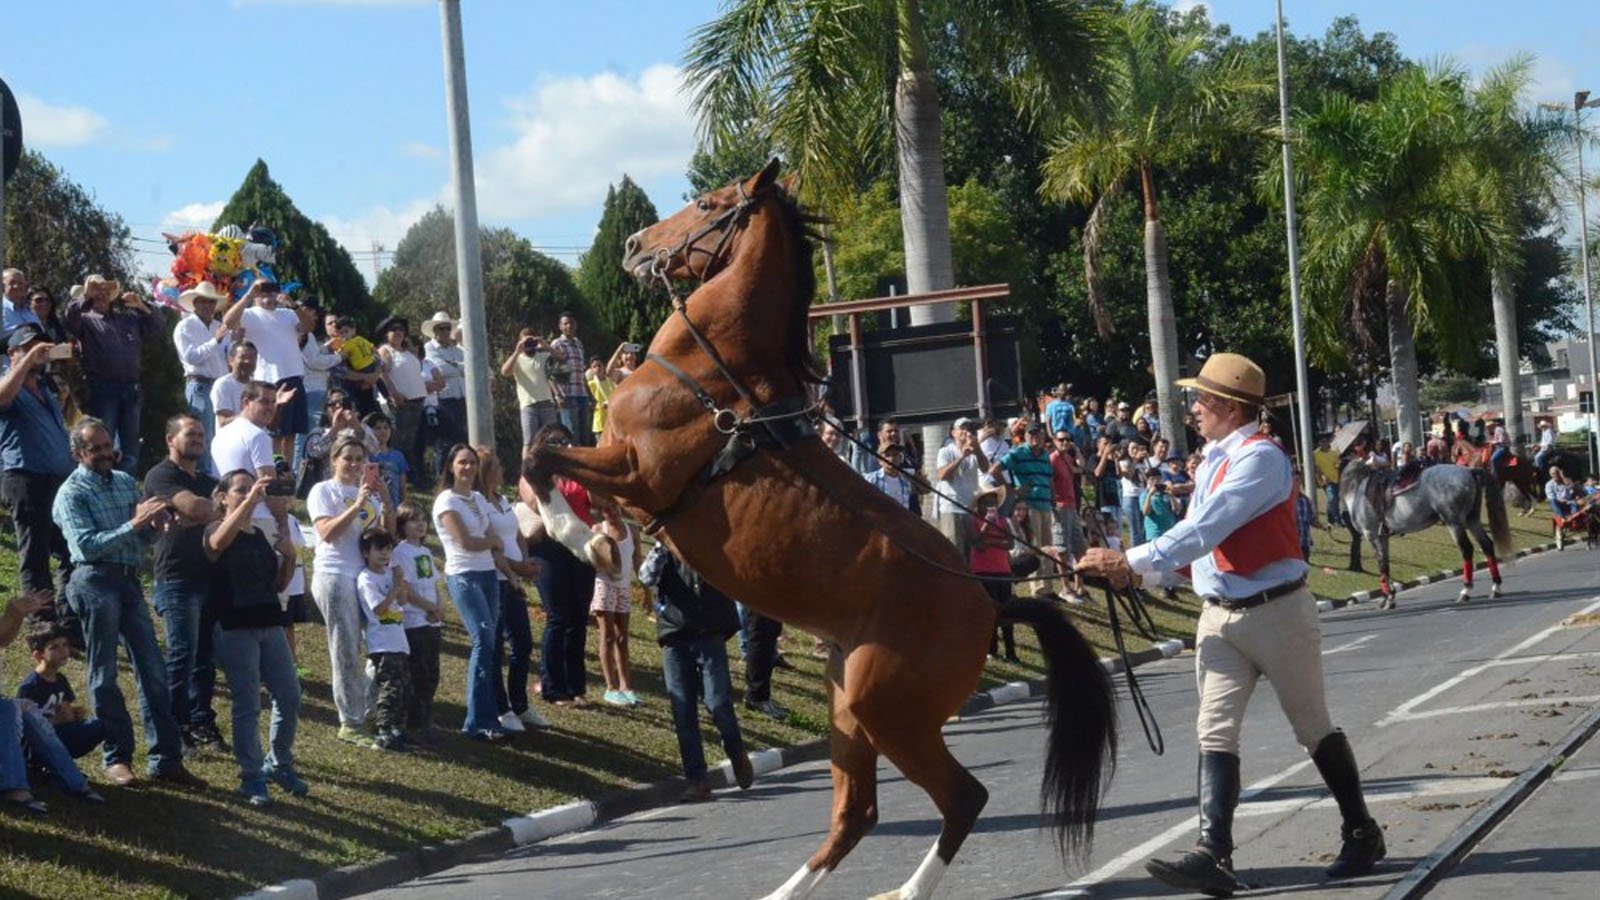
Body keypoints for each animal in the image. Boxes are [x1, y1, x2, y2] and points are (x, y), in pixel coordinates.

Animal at [521, 160, 1113, 896]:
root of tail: (989, 601)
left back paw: (907, 890)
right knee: (856, 814)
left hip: (884, 712)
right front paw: (592, 538)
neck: (713, 371)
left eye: (708, 204)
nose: (633, 245)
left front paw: (586, 539)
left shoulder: (638, 474)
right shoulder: (627, 476)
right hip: (847, 709)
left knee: (960, 797)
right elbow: (542, 449)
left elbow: (540, 455)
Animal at [1337, 458, 1510, 605]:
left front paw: (1388, 598)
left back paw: (1466, 590)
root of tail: (1469, 471)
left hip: (1454, 522)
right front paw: (1389, 596)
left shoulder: (1373, 536)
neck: (1357, 491)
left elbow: (1382, 566)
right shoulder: (1383, 537)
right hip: (1471, 519)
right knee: (1486, 545)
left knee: (1467, 549)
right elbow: (1385, 564)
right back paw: (1496, 587)